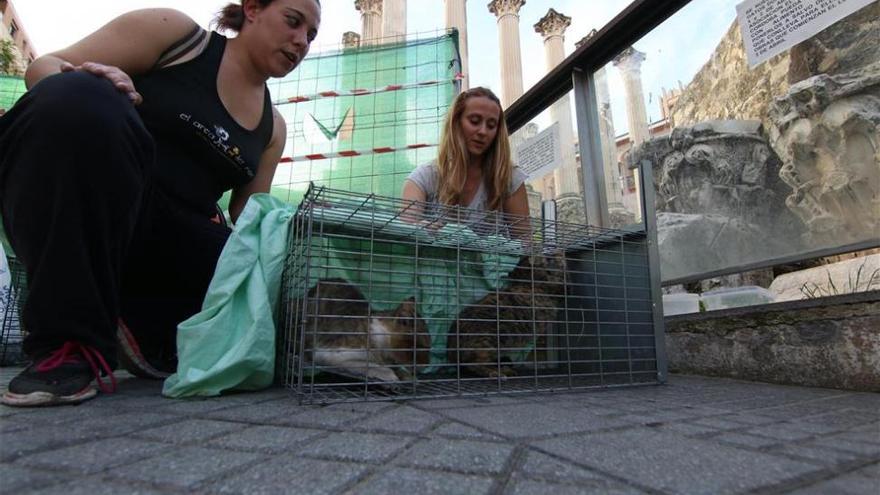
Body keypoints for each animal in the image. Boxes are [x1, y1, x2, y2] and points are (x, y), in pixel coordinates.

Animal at [302, 280, 430, 384]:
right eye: (419, 347)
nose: (426, 365)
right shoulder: (326, 352)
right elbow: (366, 364)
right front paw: (387, 372)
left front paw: (406, 375)